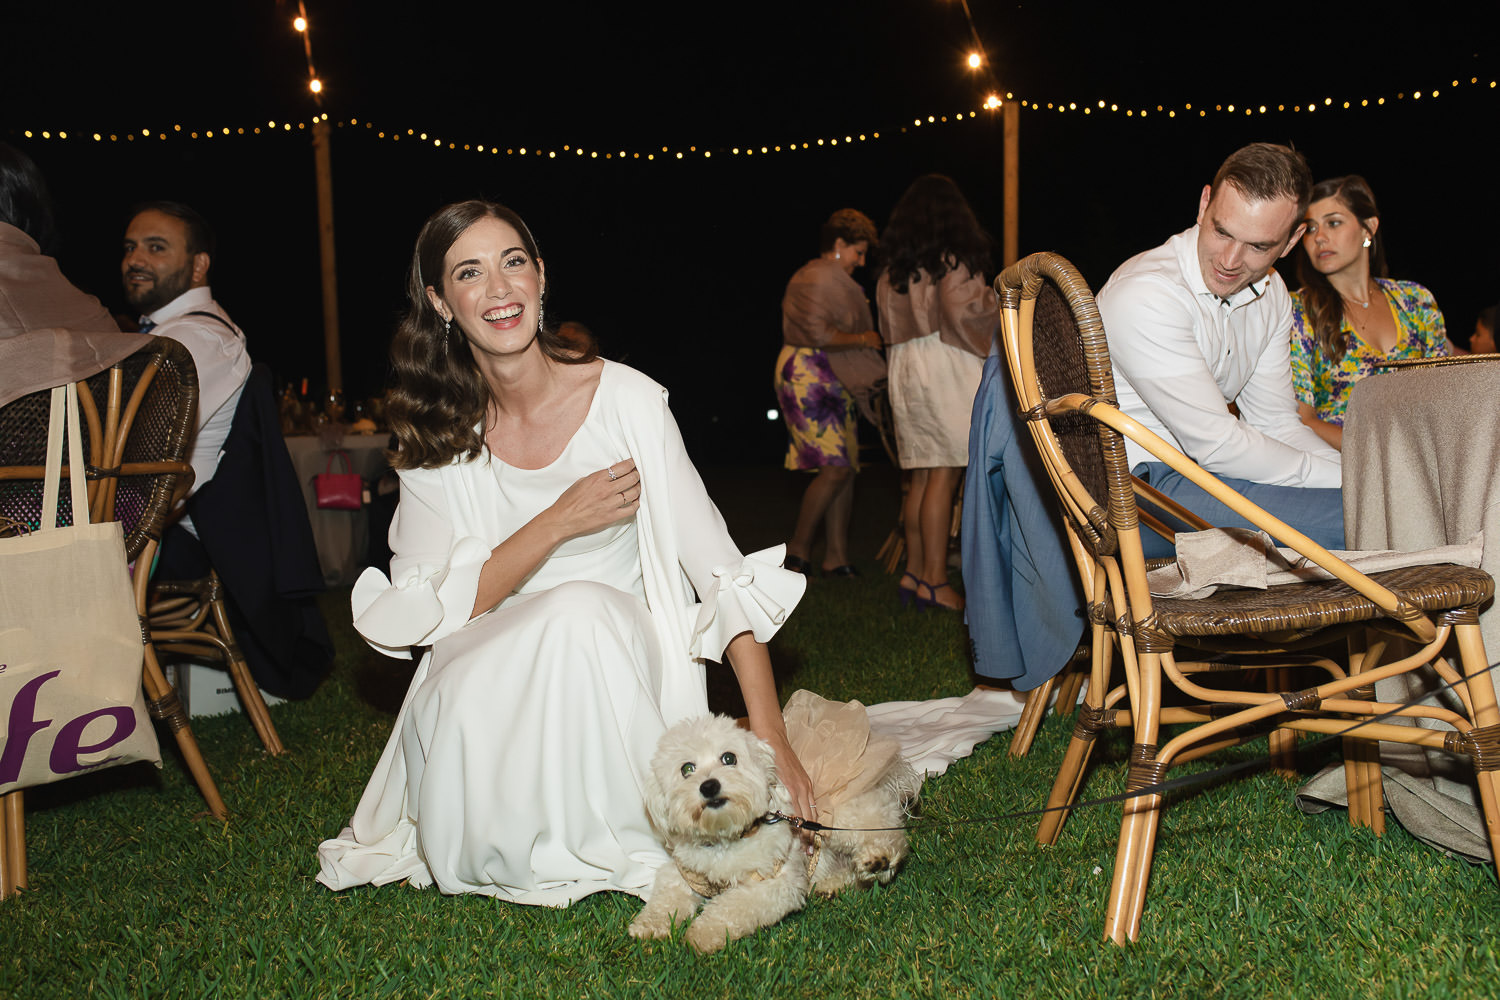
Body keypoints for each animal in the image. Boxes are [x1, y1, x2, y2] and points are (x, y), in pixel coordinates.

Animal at [630, 704, 918, 953]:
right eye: (687, 769)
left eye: (729, 758)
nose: (709, 786)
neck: (728, 836)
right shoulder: (684, 873)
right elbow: (666, 896)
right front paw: (648, 925)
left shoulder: (774, 883)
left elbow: (731, 906)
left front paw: (702, 933)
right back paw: (832, 884)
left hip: (845, 819)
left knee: (889, 835)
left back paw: (879, 859)